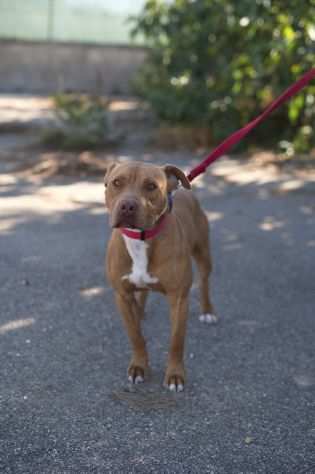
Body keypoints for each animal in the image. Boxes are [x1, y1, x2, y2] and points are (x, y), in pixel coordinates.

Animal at [104, 161, 217, 390]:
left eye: (151, 186)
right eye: (117, 182)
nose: (127, 206)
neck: (140, 238)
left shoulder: (179, 298)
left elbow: (176, 341)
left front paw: (175, 375)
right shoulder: (122, 296)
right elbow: (135, 335)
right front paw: (139, 366)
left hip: (203, 254)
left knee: (204, 280)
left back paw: (207, 311)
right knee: (143, 294)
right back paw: (140, 311)